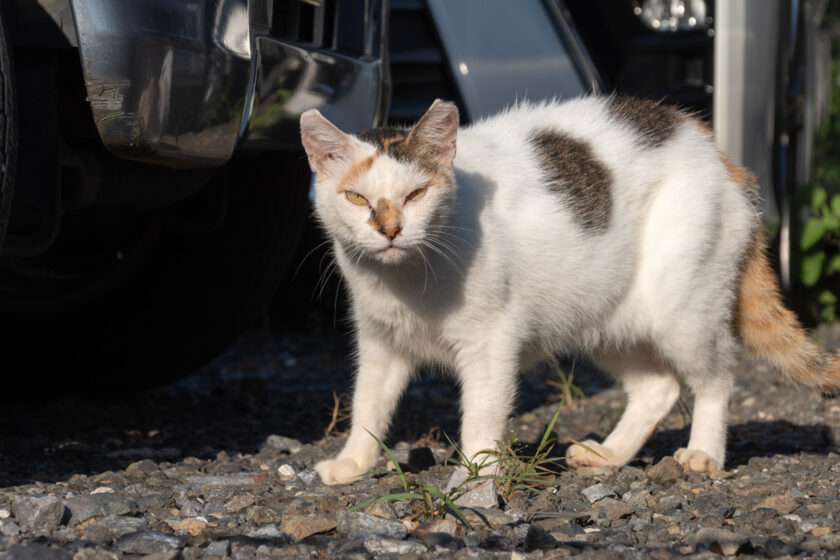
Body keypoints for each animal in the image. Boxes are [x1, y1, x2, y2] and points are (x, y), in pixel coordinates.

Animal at [298, 94, 836, 484]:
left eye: (415, 194)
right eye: (356, 197)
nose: (390, 230)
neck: (405, 279)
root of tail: (712, 146)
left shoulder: (490, 344)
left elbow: (482, 414)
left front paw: (478, 476)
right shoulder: (380, 342)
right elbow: (368, 403)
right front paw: (354, 462)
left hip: (683, 310)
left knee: (717, 378)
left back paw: (703, 453)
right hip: (601, 316)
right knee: (657, 388)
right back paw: (609, 454)